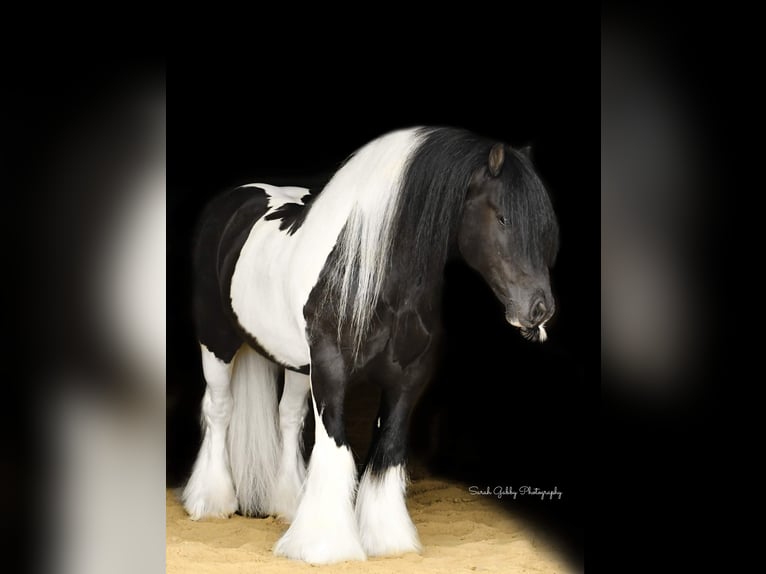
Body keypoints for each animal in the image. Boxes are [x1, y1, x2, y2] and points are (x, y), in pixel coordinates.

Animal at [183, 127, 560, 568]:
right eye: (502, 217)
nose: (539, 309)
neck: (372, 276)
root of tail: (234, 200)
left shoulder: (407, 380)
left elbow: (387, 451)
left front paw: (386, 539)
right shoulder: (331, 373)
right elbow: (336, 449)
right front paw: (324, 546)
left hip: (295, 364)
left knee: (288, 419)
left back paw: (289, 505)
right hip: (217, 342)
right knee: (219, 410)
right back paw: (210, 502)